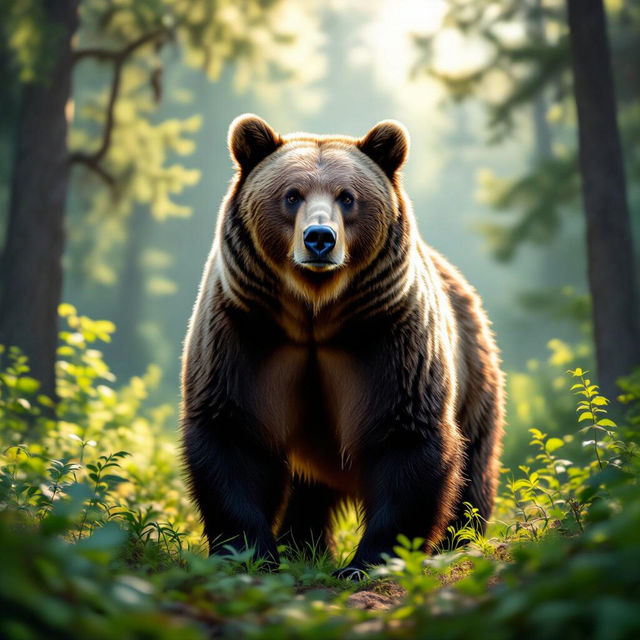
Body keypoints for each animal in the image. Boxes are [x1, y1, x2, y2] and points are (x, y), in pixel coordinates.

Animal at [181, 114, 505, 579]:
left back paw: (458, 544)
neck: (315, 315)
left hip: (476, 379)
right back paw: (302, 545)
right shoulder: (246, 330)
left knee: (473, 473)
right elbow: (233, 435)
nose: (320, 238)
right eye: (292, 195)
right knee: (309, 491)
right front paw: (250, 554)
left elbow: (405, 440)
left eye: (348, 197)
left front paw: (370, 562)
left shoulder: (389, 338)